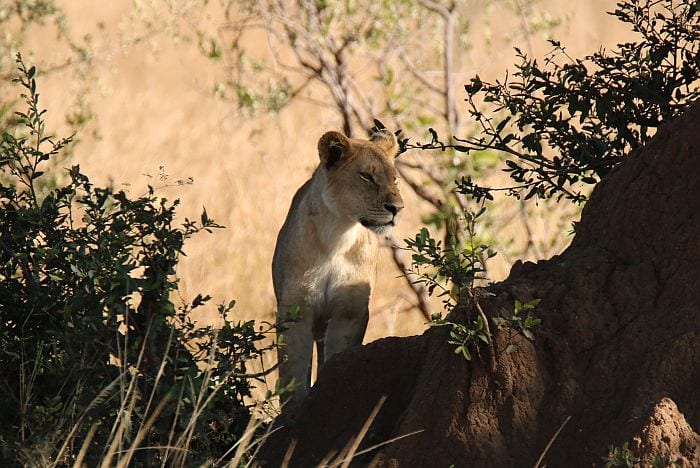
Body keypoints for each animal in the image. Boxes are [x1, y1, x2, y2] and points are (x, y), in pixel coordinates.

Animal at [272, 129, 404, 409]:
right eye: (367, 176)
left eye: (395, 179)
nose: (397, 209)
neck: (338, 234)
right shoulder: (296, 309)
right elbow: (293, 371)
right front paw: (295, 410)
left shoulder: (350, 311)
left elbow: (337, 357)